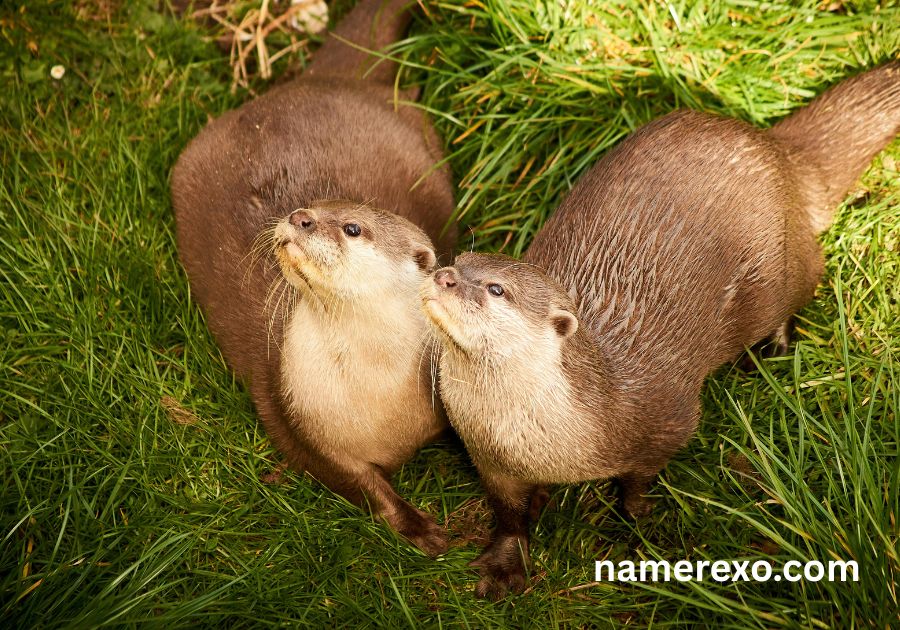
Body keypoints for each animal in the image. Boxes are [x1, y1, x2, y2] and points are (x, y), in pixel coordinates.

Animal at [171, 0, 456, 556]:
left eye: (352, 227)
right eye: (311, 206)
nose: (299, 216)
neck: (378, 398)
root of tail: (317, 82)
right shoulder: (304, 424)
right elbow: (363, 488)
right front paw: (419, 528)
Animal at [422, 61, 900, 595]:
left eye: (496, 288)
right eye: (458, 262)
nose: (444, 276)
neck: (543, 440)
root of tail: (773, 148)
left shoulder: (666, 422)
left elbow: (640, 479)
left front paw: (637, 525)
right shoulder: (489, 460)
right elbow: (508, 515)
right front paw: (505, 562)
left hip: (783, 265)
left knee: (805, 281)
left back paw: (770, 351)